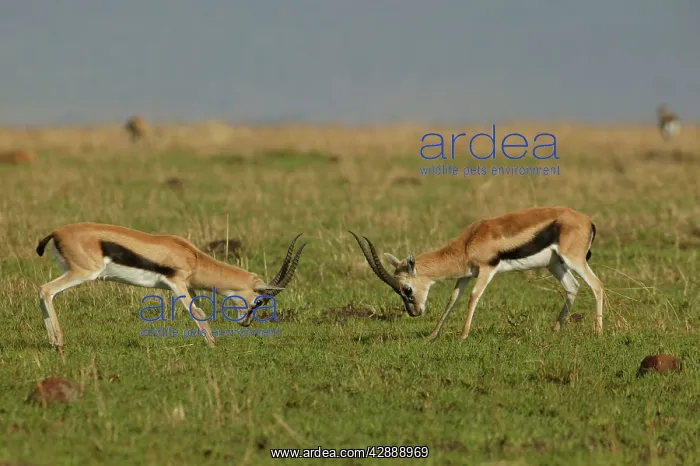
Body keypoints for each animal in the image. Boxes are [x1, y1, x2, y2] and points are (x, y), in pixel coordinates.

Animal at [35, 223, 307, 354]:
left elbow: (201, 312)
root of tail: (56, 233)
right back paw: (58, 343)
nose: (246, 323)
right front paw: (213, 346)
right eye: (260, 301)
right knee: (45, 289)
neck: (192, 257)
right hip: (83, 273)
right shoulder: (177, 284)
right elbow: (197, 314)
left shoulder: (189, 287)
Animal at [349, 206, 604, 340]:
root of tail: (588, 220)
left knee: (597, 285)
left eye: (407, 289)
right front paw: (432, 335)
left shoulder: (486, 269)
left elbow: (473, 297)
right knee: (572, 287)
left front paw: (463, 335)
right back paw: (555, 330)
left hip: (574, 260)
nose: (414, 312)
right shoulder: (465, 275)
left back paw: (598, 332)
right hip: (556, 264)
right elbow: (452, 300)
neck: (468, 242)